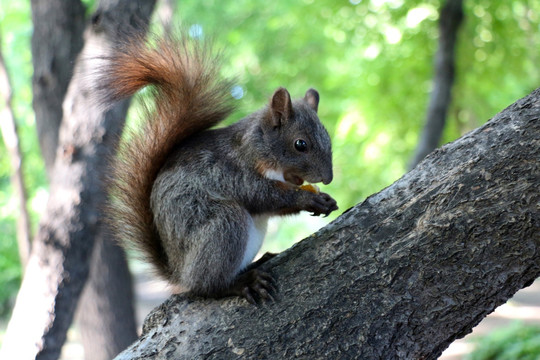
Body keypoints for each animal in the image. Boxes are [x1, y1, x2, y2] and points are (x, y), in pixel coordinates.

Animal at [98, 32, 338, 306]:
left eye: (328, 138)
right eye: (300, 144)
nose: (328, 178)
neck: (258, 147)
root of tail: (179, 271)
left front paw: (326, 200)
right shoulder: (232, 170)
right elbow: (263, 195)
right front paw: (309, 199)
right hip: (223, 224)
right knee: (207, 286)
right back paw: (241, 283)